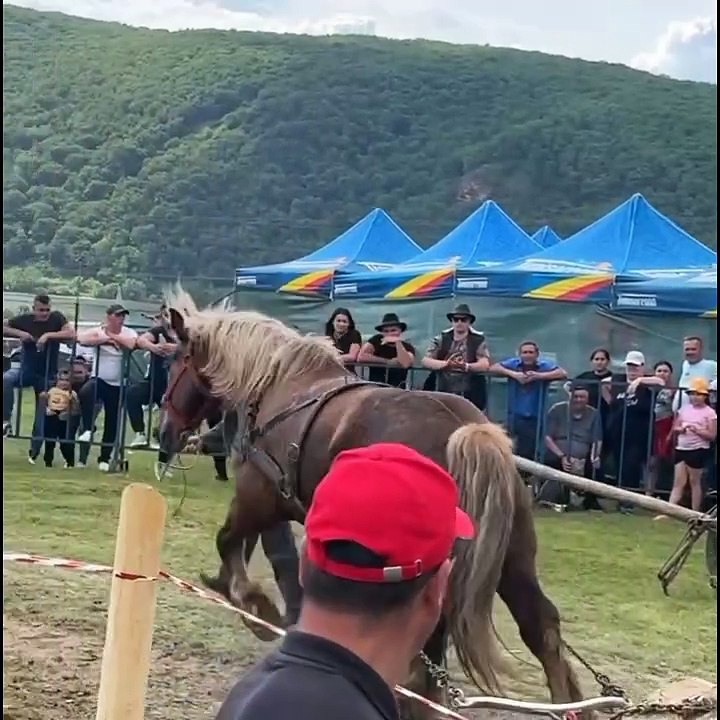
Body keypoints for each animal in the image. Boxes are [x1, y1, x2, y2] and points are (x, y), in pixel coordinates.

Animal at [158, 286, 585, 716]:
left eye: (176, 359)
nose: (165, 430)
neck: (281, 384)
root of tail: (467, 430)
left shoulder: (258, 493)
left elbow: (229, 541)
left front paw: (255, 606)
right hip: (513, 556)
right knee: (540, 629)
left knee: (431, 671)